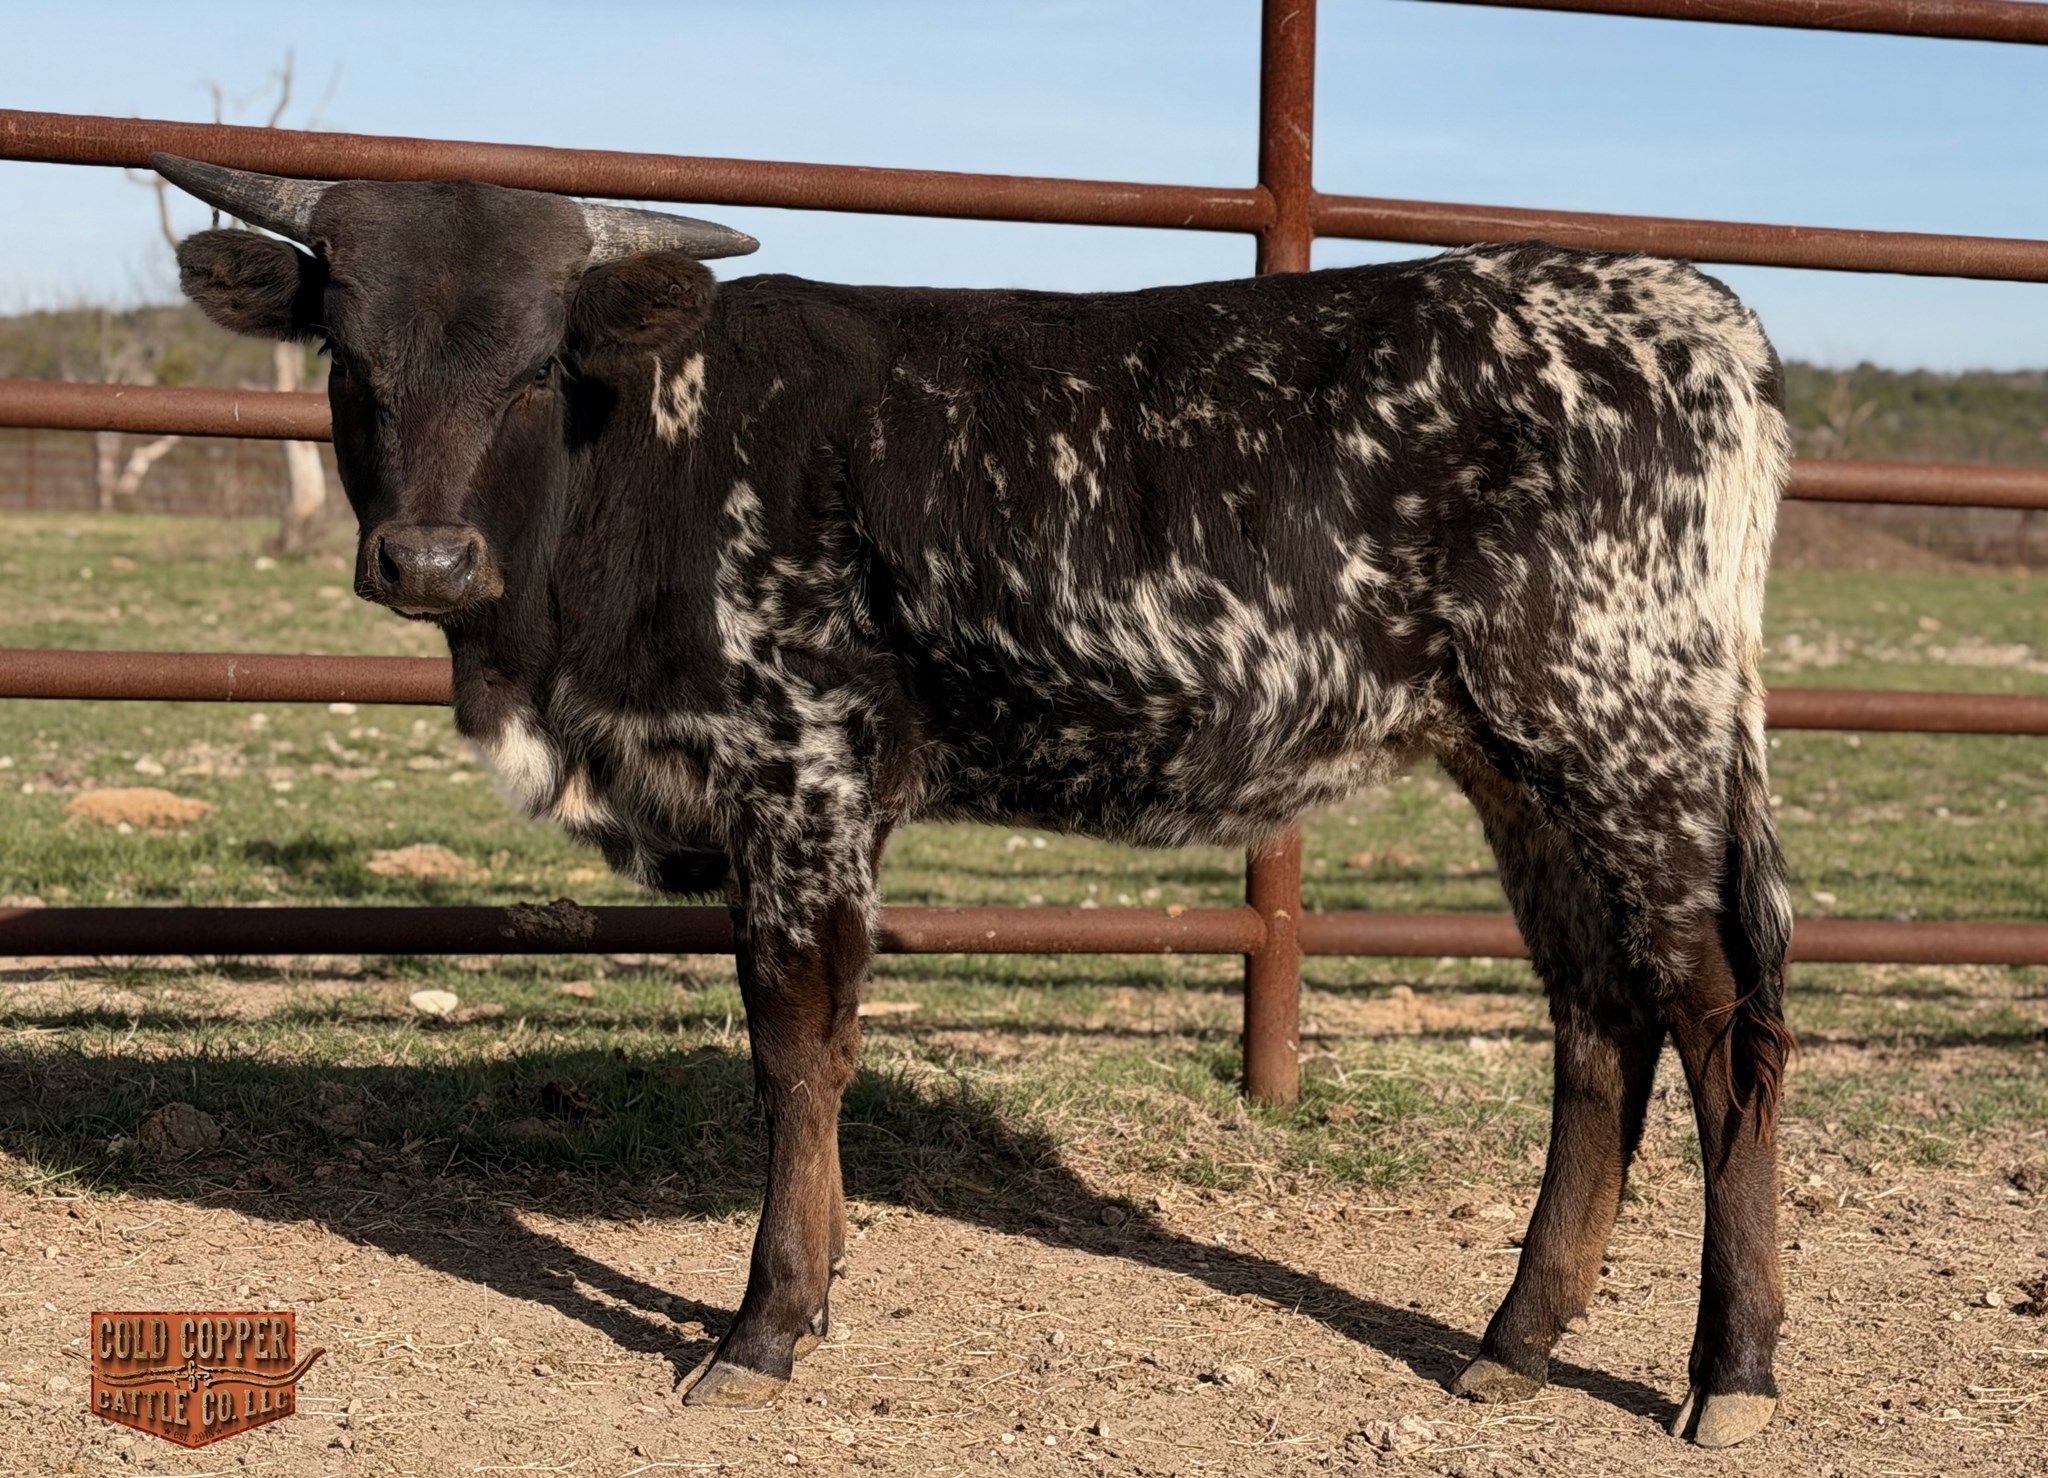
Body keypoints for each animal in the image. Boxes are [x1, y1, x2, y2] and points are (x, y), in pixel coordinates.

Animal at [156, 152, 1796, 1447]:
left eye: (534, 366)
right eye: (350, 359)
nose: (427, 560)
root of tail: (1697, 312)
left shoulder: (800, 770)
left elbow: (795, 1044)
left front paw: (765, 1325)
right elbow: (820, 1045)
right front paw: (810, 1295)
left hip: (1622, 725)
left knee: (1716, 1012)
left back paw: (1731, 1367)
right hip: (1520, 762)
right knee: (1597, 1017)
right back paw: (1516, 1339)